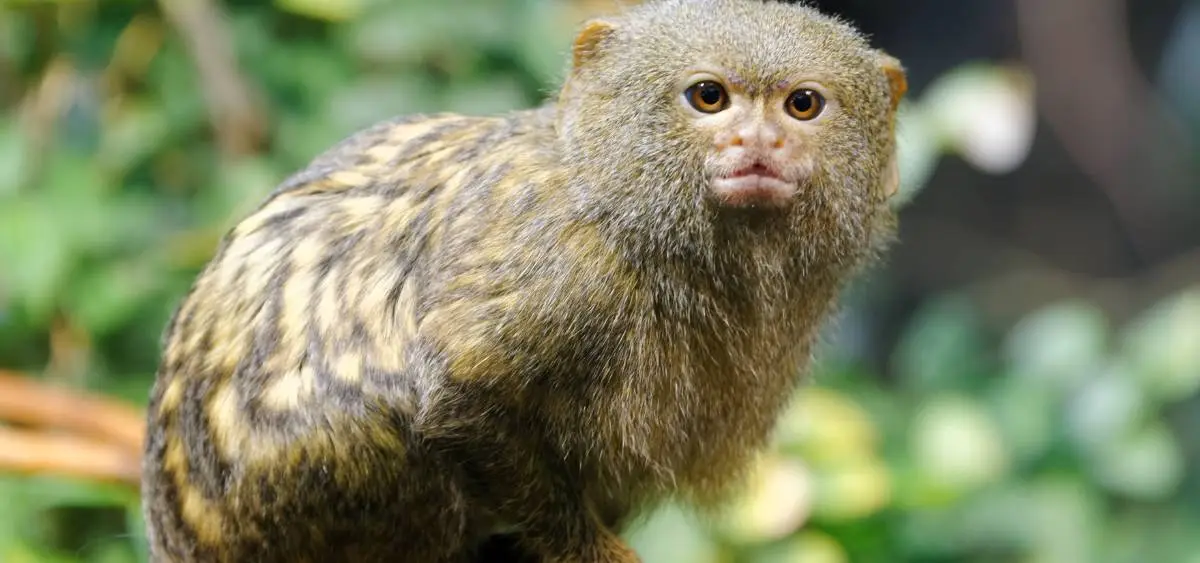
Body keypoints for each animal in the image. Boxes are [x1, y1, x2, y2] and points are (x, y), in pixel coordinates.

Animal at [139, 0, 908, 561]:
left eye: (802, 105)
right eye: (709, 97)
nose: (758, 144)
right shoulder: (560, 270)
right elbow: (461, 395)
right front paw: (590, 551)